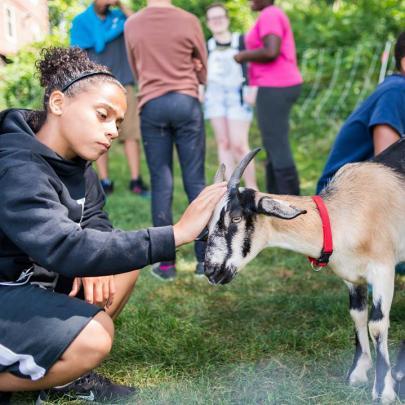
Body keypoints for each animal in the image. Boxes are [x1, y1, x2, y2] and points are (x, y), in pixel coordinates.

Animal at [205, 146, 404, 400]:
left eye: (236, 217)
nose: (210, 270)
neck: (346, 215)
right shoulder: (352, 276)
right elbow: (357, 314)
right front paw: (358, 373)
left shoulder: (383, 270)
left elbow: (377, 324)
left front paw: (384, 391)